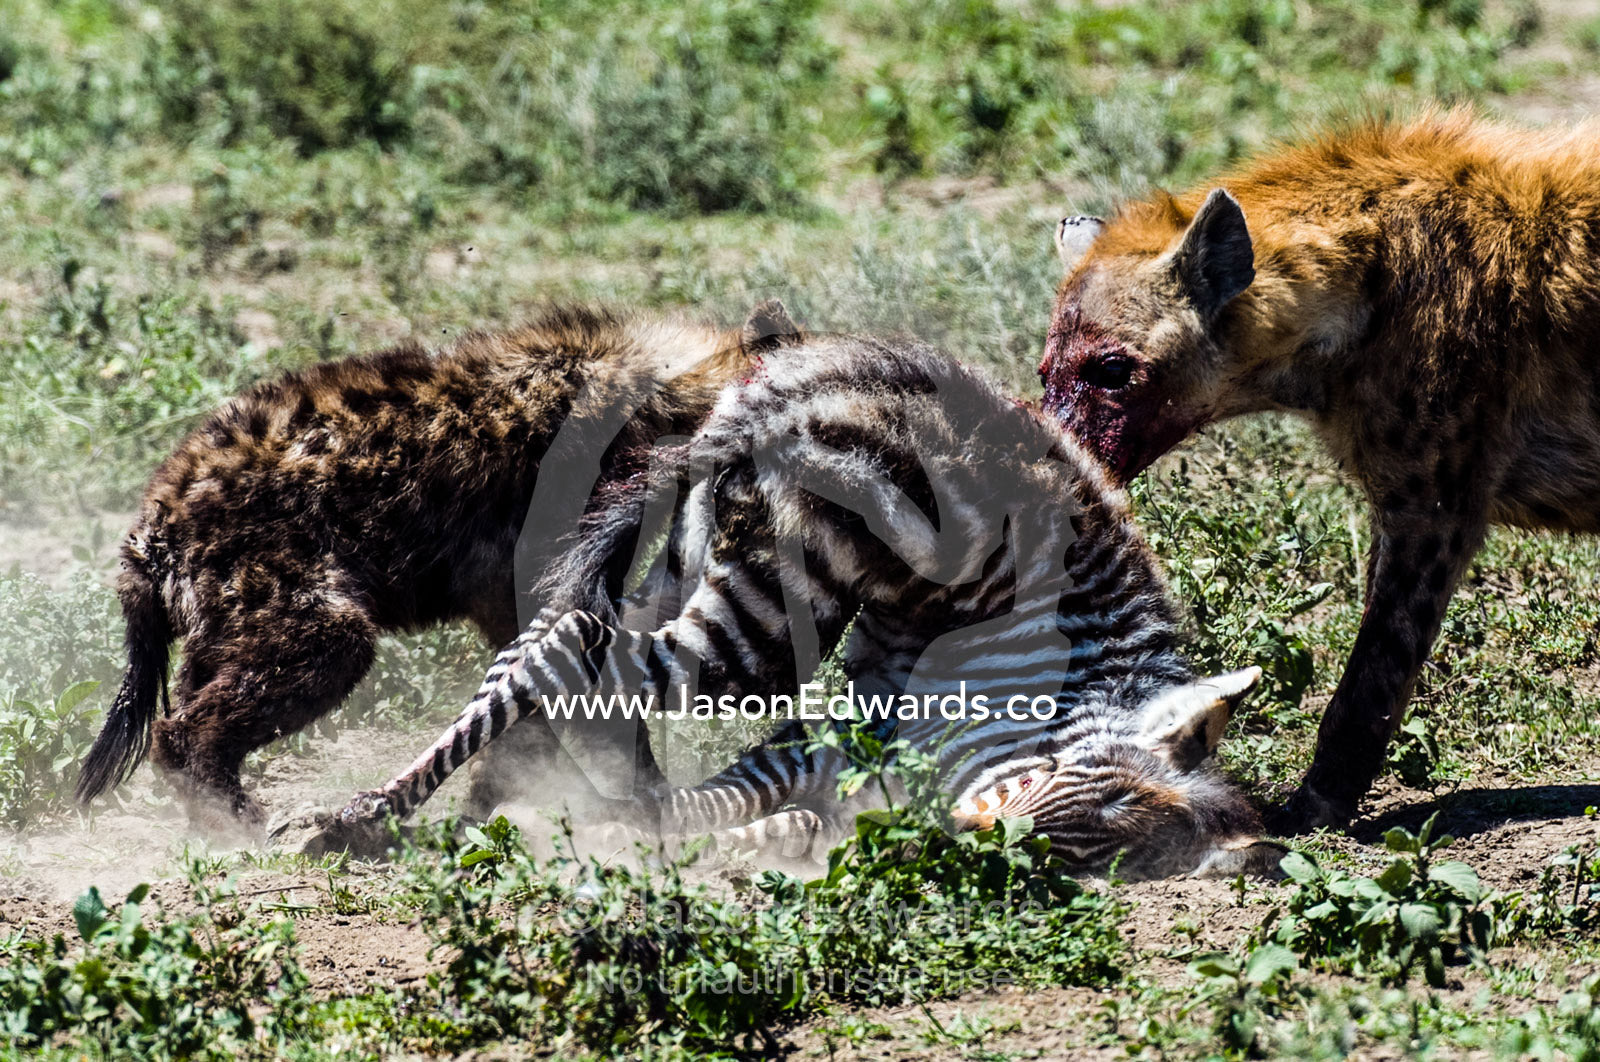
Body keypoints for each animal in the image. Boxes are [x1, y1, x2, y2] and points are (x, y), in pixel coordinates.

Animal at [297, 331, 1281, 879]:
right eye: (1063, 781)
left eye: (1067, 860)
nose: (964, 836)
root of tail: (793, 389)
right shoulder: (877, 731)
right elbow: (737, 805)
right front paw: (639, 832)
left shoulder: (860, 742)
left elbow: (757, 812)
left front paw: (654, 833)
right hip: (774, 614)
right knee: (575, 644)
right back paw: (387, 812)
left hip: (696, 554)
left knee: (549, 638)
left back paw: (400, 809)